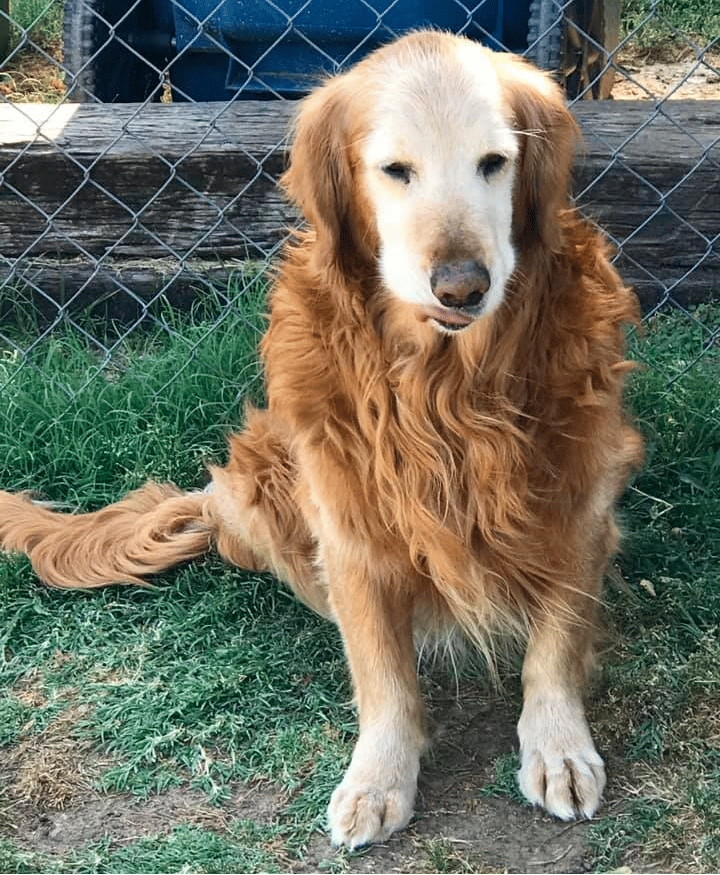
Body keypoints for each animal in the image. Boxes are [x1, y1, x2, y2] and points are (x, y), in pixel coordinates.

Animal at [0, 29, 640, 848]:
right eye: (395, 170)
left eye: (495, 162)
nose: (462, 285)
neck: (447, 388)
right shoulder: (350, 522)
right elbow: (383, 670)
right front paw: (378, 778)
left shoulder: (579, 494)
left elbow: (555, 642)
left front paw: (557, 746)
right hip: (262, 481)